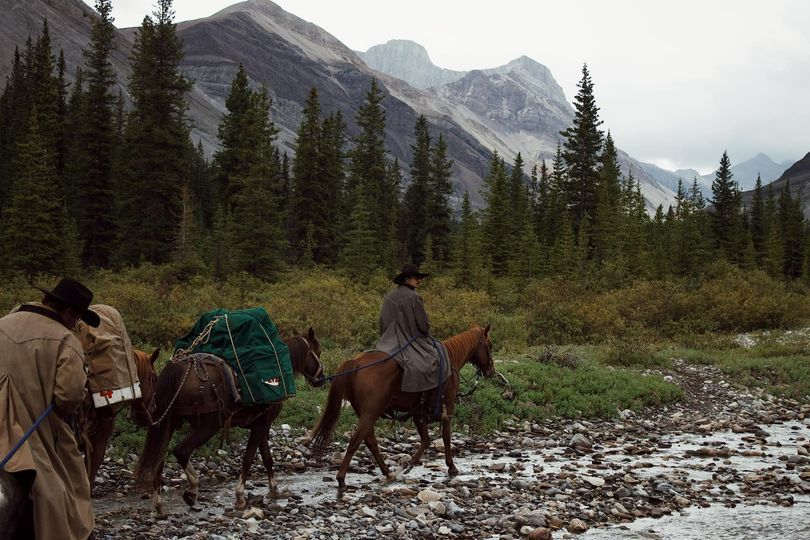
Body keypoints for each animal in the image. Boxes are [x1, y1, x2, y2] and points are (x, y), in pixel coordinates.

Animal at [133, 326, 322, 516]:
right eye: (318, 352)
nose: (321, 379)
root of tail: (179, 369)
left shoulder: (261, 426)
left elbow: (267, 458)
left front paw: (275, 490)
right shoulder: (261, 425)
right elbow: (249, 458)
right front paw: (240, 497)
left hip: (169, 422)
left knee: (159, 459)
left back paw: (159, 505)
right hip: (208, 426)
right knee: (181, 451)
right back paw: (192, 488)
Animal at [310, 322, 492, 492]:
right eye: (489, 345)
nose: (491, 371)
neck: (451, 359)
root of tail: (356, 362)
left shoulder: (418, 411)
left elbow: (426, 439)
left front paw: (409, 465)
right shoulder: (448, 406)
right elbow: (445, 436)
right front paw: (450, 467)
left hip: (366, 413)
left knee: (370, 440)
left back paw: (387, 472)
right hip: (371, 413)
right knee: (356, 441)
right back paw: (341, 479)